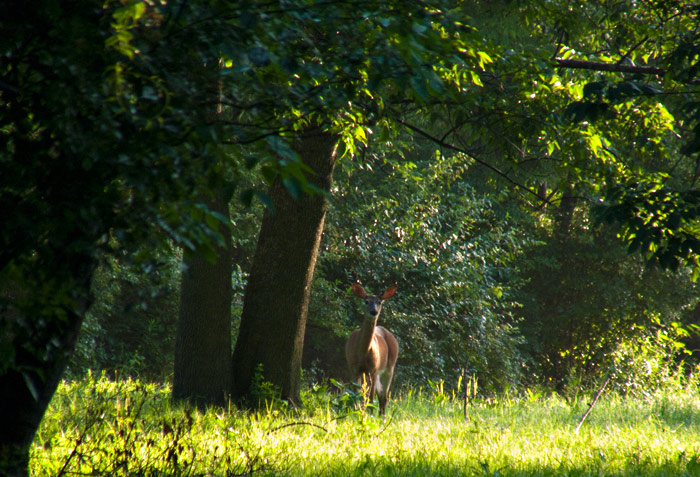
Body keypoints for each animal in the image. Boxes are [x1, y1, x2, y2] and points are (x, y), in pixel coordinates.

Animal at [346, 282, 400, 412]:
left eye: (379, 302)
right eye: (366, 301)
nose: (373, 311)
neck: (362, 353)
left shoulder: (374, 368)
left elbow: (370, 397)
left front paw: (368, 414)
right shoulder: (353, 368)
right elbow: (357, 394)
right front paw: (357, 411)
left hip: (389, 367)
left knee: (384, 396)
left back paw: (382, 415)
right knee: (379, 394)